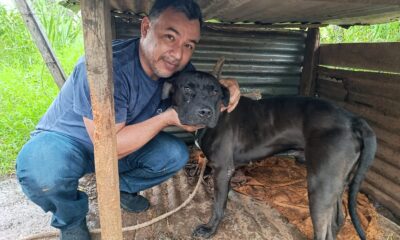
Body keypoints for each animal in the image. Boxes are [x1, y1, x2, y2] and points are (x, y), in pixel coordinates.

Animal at [164, 71, 376, 240]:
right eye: (187, 88)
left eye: (215, 91)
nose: (205, 112)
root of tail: (353, 119)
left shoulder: (223, 169)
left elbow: (218, 205)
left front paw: (209, 229)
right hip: (336, 183)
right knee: (338, 219)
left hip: (320, 184)